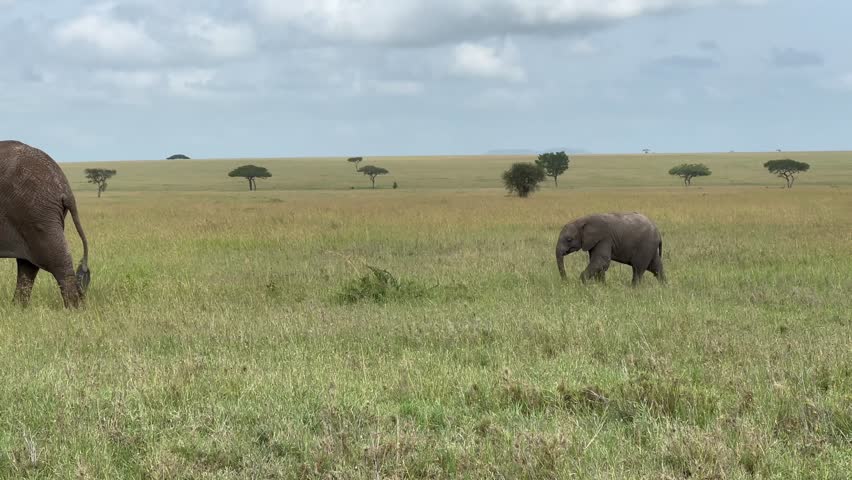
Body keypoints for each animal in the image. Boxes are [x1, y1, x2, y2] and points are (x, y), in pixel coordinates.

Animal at [0, 140, 90, 308]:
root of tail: (64, 186)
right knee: (28, 265)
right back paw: (17, 308)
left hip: (37, 211)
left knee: (54, 258)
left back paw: (74, 309)